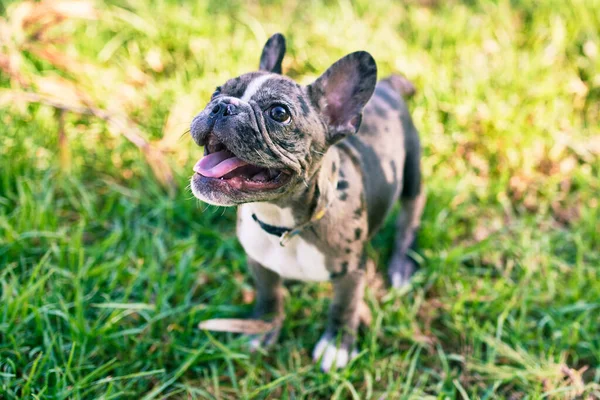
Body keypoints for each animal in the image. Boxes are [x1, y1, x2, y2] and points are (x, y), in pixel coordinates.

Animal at [190, 33, 424, 372]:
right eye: (216, 91)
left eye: (279, 113)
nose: (223, 106)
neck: (285, 224)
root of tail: (389, 87)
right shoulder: (260, 262)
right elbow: (269, 295)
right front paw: (263, 328)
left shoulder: (352, 273)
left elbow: (344, 306)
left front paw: (338, 345)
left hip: (412, 173)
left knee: (410, 215)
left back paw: (401, 266)